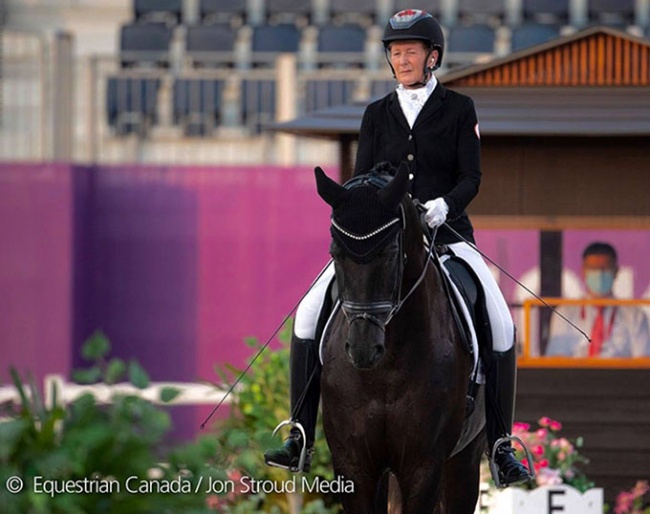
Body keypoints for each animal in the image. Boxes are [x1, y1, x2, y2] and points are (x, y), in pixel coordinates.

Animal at [314, 162, 486, 510]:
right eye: (334, 252)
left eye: (392, 251)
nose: (363, 349)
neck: (386, 368)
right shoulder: (354, 465)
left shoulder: (424, 466)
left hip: (465, 460)